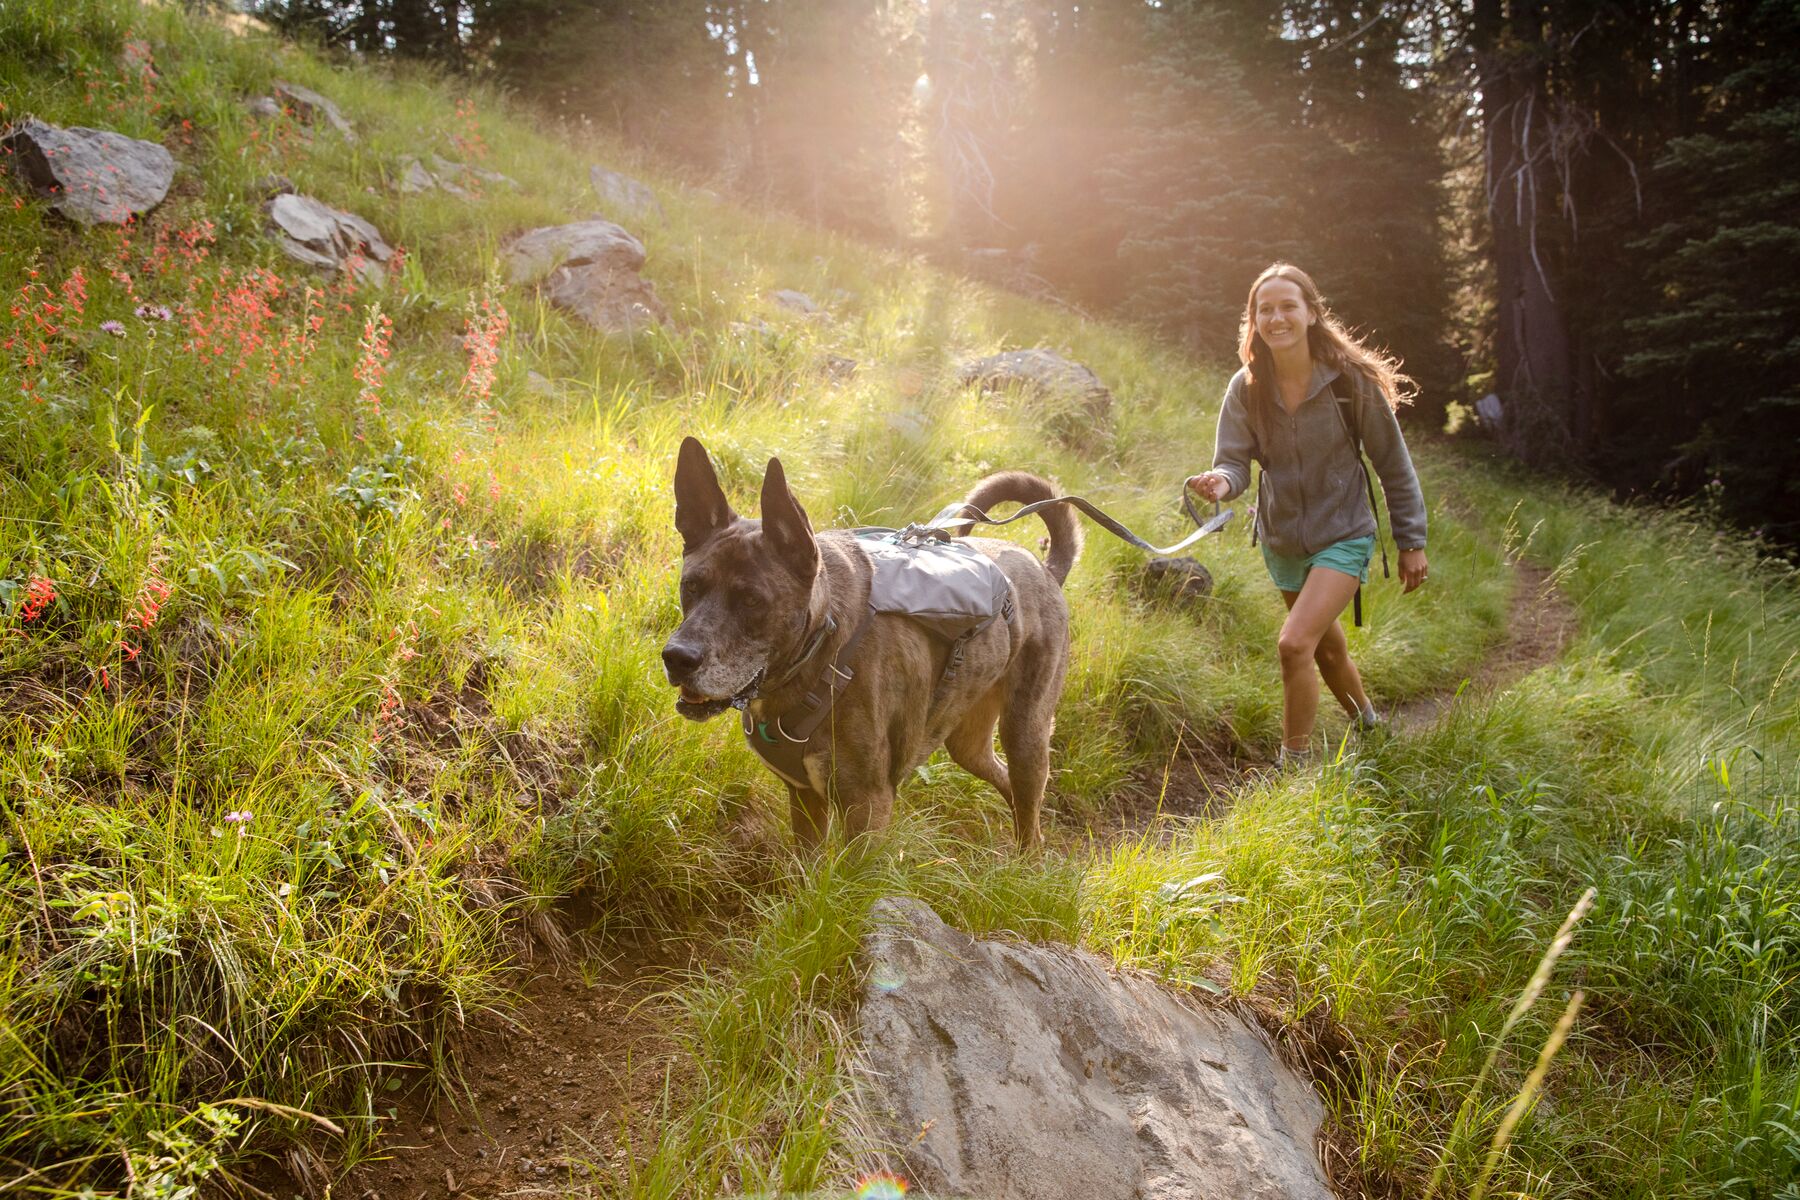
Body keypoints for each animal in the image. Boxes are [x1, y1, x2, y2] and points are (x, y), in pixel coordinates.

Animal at [666, 437, 1072, 849]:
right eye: (691, 586)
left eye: (752, 600)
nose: (676, 657)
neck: (823, 649)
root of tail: (1044, 569)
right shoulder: (806, 799)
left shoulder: (867, 810)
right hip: (968, 742)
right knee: (1011, 789)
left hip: (1026, 733)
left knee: (1029, 812)